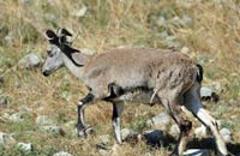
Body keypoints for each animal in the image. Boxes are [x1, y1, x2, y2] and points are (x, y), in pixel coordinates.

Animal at [41, 28, 229, 156]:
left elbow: (80, 104)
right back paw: (223, 151)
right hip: (191, 97)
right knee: (212, 122)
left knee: (186, 124)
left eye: (50, 52)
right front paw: (118, 145)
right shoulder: (118, 101)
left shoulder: (98, 92)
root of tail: (193, 67)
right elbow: (115, 122)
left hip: (169, 98)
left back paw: (175, 152)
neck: (88, 65)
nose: (44, 71)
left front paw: (81, 132)